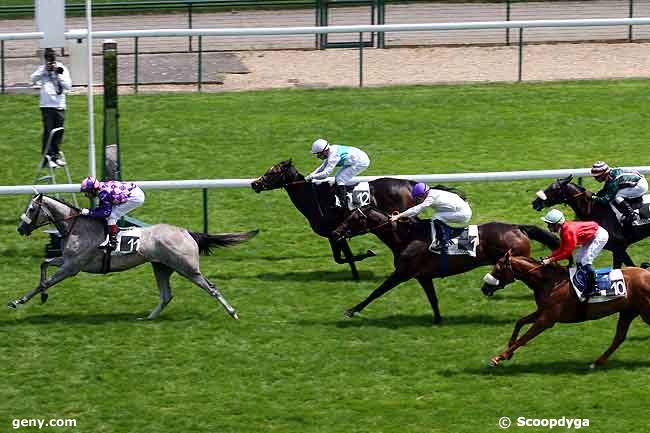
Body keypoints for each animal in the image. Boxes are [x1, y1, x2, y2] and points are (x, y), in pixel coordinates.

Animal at [9, 194, 258, 318]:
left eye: (31, 209)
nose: (21, 229)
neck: (77, 227)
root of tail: (187, 232)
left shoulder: (72, 268)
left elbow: (45, 281)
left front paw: (20, 300)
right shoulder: (69, 262)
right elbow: (44, 264)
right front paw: (39, 297)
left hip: (187, 268)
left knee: (212, 287)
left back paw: (232, 313)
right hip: (161, 267)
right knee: (166, 295)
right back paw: (147, 318)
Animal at [251, 160, 412, 278]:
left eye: (273, 172)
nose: (254, 184)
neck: (314, 198)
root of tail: (409, 184)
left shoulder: (338, 233)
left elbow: (347, 257)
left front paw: (360, 270)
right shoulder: (333, 235)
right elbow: (340, 259)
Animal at [332, 207, 560, 324]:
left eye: (352, 219)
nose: (335, 233)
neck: (405, 237)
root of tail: (517, 227)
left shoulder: (402, 273)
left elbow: (376, 292)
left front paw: (352, 310)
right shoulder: (423, 276)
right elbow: (433, 299)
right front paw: (438, 319)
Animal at [478, 250, 648, 368]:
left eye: (497, 269)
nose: (484, 288)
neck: (550, 282)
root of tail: (647, 273)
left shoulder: (547, 319)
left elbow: (524, 338)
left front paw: (498, 357)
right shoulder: (542, 311)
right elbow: (520, 321)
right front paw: (509, 351)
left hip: (644, 312)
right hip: (628, 312)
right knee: (619, 337)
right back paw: (596, 362)